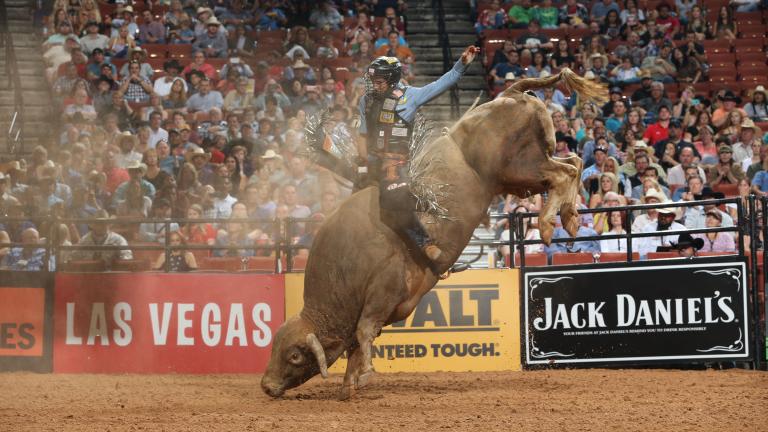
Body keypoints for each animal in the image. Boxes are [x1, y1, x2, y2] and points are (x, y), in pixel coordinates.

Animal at [264, 69, 608, 400]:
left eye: (295, 356)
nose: (266, 386)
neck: (346, 264)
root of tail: (511, 94)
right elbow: (356, 344)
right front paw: (350, 384)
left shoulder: (384, 289)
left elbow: (363, 332)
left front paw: (363, 375)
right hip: (524, 174)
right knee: (574, 162)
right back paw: (569, 216)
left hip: (521, 167)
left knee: (565, 171)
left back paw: (551, 223)